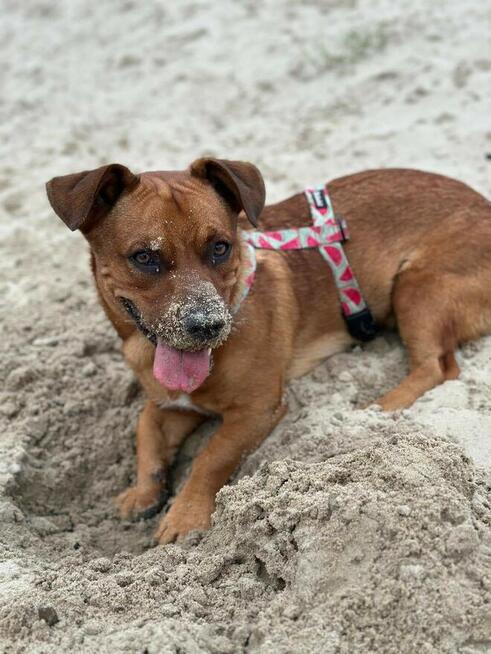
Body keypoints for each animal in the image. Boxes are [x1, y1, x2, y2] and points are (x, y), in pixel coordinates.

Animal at [46, 161, 491, 544]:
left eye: (220, 248)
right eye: (144, 257)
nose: (208, 325)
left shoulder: (257, 410)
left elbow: (210, 457)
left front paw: (185, 515)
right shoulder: (172, 404)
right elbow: (145, 431)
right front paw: (143, 492)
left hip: (418, 286)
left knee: (437, 367)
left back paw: (380, 407)